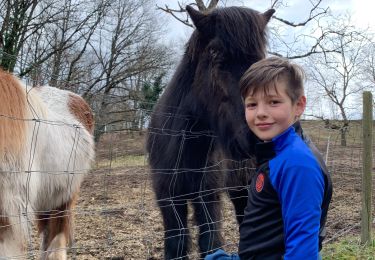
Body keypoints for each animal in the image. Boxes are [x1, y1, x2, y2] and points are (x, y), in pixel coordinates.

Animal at [148, 5, 276, 258]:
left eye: (261, 56)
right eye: (214, 51)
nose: (257, 132)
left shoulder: (208, 196)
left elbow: (210, 243)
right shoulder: (168, 198)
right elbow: (176, 244)